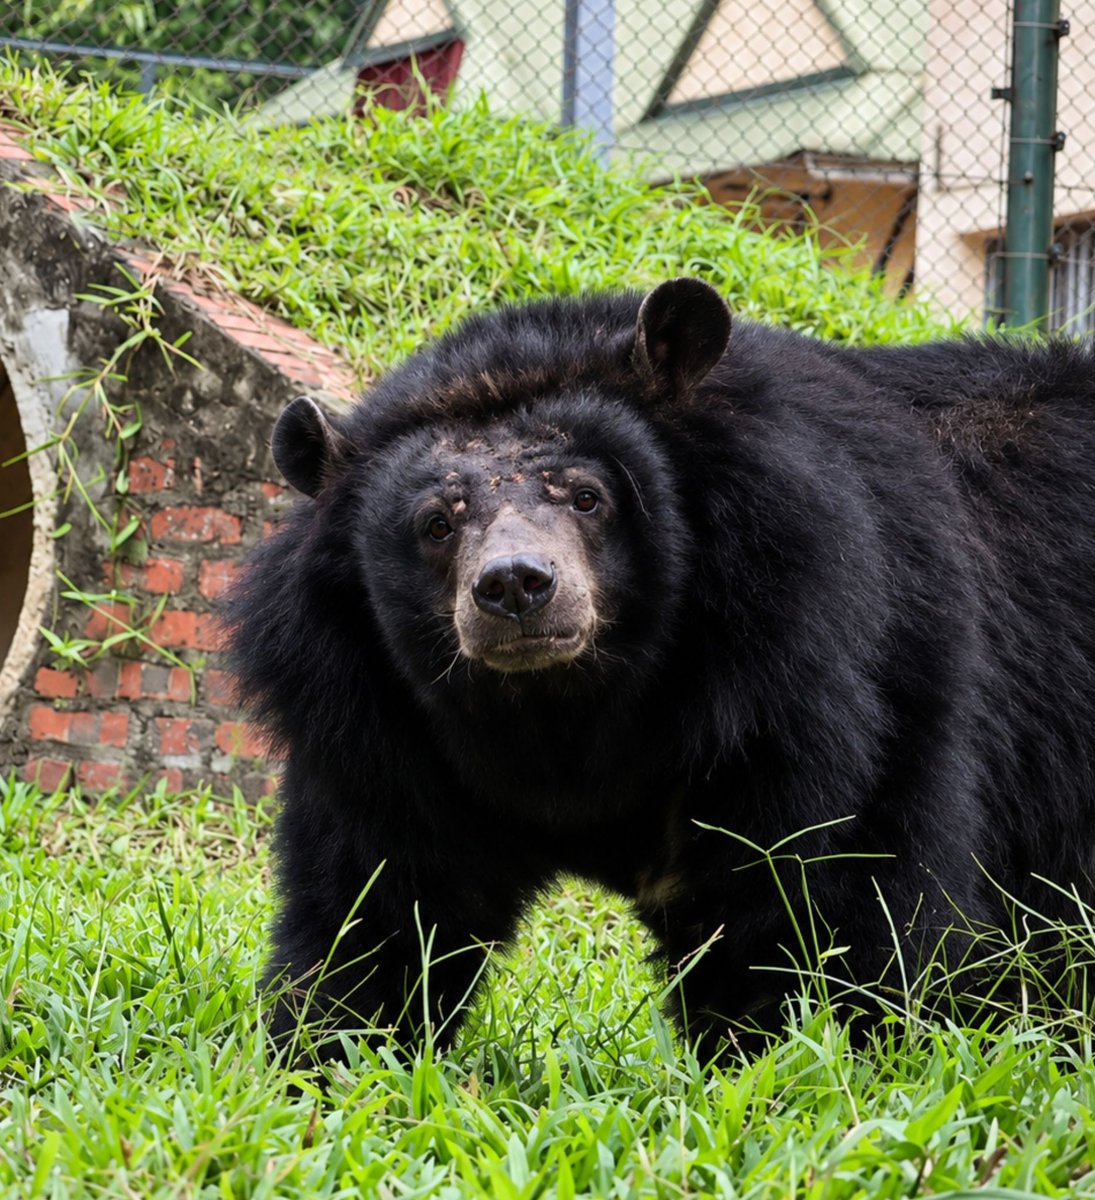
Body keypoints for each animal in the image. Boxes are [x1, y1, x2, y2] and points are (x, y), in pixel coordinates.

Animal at [227, 277, 1095, 1060]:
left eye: (586, 497)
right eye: (437, 524)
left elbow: (834, 894)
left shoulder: (828, 673)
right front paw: (327, 1063)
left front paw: (831, 1065)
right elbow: (377, 905)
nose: (514, 586)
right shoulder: (368, 720)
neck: (565, 702)